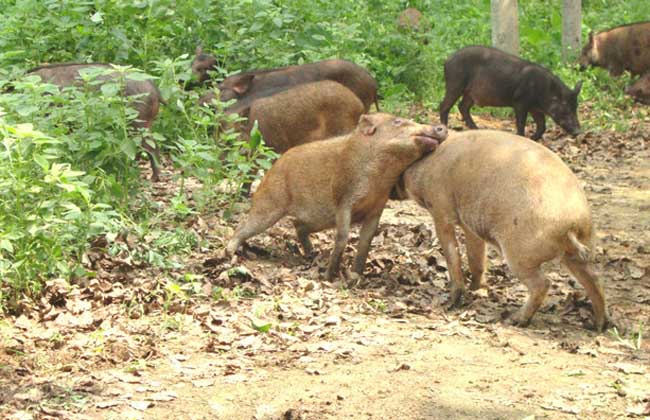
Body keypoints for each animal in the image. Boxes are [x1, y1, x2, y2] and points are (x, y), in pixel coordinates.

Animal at [223, 113, 446, 280]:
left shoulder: (377, 208)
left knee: (297, 225)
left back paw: (311, 254)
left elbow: (365, 241)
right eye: (397, 121)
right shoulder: (343, 201)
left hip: (318, 219)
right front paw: (330, 276)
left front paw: (356, 276)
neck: (377, 178)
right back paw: (228, 253)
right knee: (243, 226)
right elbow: (342, 236)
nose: (441, 127)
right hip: (269, 203)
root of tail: (271, 169)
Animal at [392, 131, 612, 332]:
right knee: (595, 280)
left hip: (520, 254)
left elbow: (451, 253)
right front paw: (477, 290)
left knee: (543, 283)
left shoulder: (440, 208)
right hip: (580, 251)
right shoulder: (469, 225)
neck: (424, 165)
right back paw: (598, 326)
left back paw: (515, 320)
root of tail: (572, 224)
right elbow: (476, 258)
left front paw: (452, 299)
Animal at [438, 46, 580, 140]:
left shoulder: (535, 108)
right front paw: (522, 137)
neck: (543, 90)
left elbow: (542, 126)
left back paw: (477, 129)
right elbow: (521, 123)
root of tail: (446, 60)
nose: (578, 131)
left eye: (576, 108)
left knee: (462, 106)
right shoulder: (520, 102)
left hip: (469, 93)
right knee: (444, 105)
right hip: (455, 83)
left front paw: (532, 139)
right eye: (566, 109)